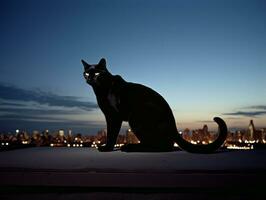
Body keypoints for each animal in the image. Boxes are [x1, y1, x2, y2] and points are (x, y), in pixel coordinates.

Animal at [81, 57, 227, 153]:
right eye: (86, 73)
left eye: (97, 73)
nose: (90, 78)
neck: (100, 90)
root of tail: (174, 127)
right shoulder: (108, 115)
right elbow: (110, 133)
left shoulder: (114, 117)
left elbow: (112, 134)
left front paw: (107, 148)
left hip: (136, 116)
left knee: (162, 147)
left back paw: (130, 147)